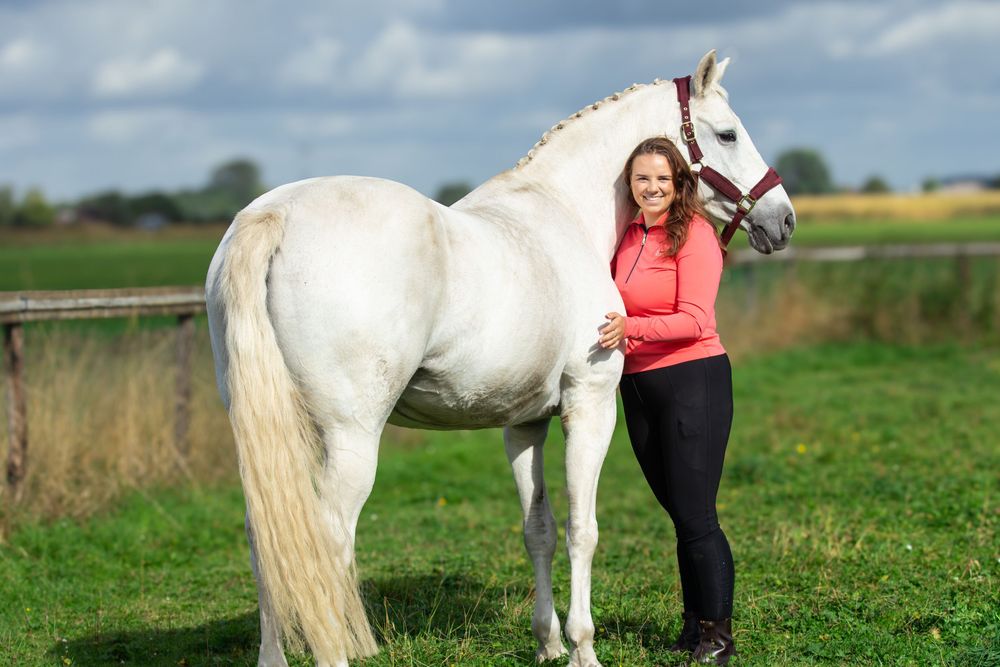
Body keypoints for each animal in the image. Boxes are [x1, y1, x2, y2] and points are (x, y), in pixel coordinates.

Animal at [205, 49, 795, 667]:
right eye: (727, 133)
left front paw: (549, 644)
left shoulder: (525, 423)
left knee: (269, 540)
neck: (565, 215)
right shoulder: (589, 407)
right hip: (349, 437)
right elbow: (583, 528)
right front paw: (583, 647)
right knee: (324, 543)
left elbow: (539, 529)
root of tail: (274, 216)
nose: (783, 220)